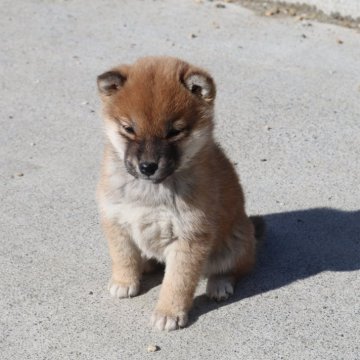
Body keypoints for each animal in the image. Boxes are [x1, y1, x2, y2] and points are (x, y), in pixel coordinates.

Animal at [96, 57, 264, 332]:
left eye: (174, 132)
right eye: (129, 128)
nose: (148, 166)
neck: (151, 191)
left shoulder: (191, 237)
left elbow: (177, 282)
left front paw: (168, 313)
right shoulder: (116, 220)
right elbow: (123, 256)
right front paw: (124, 281)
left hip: (235, 243)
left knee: (235, 268)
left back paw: (219, 284)